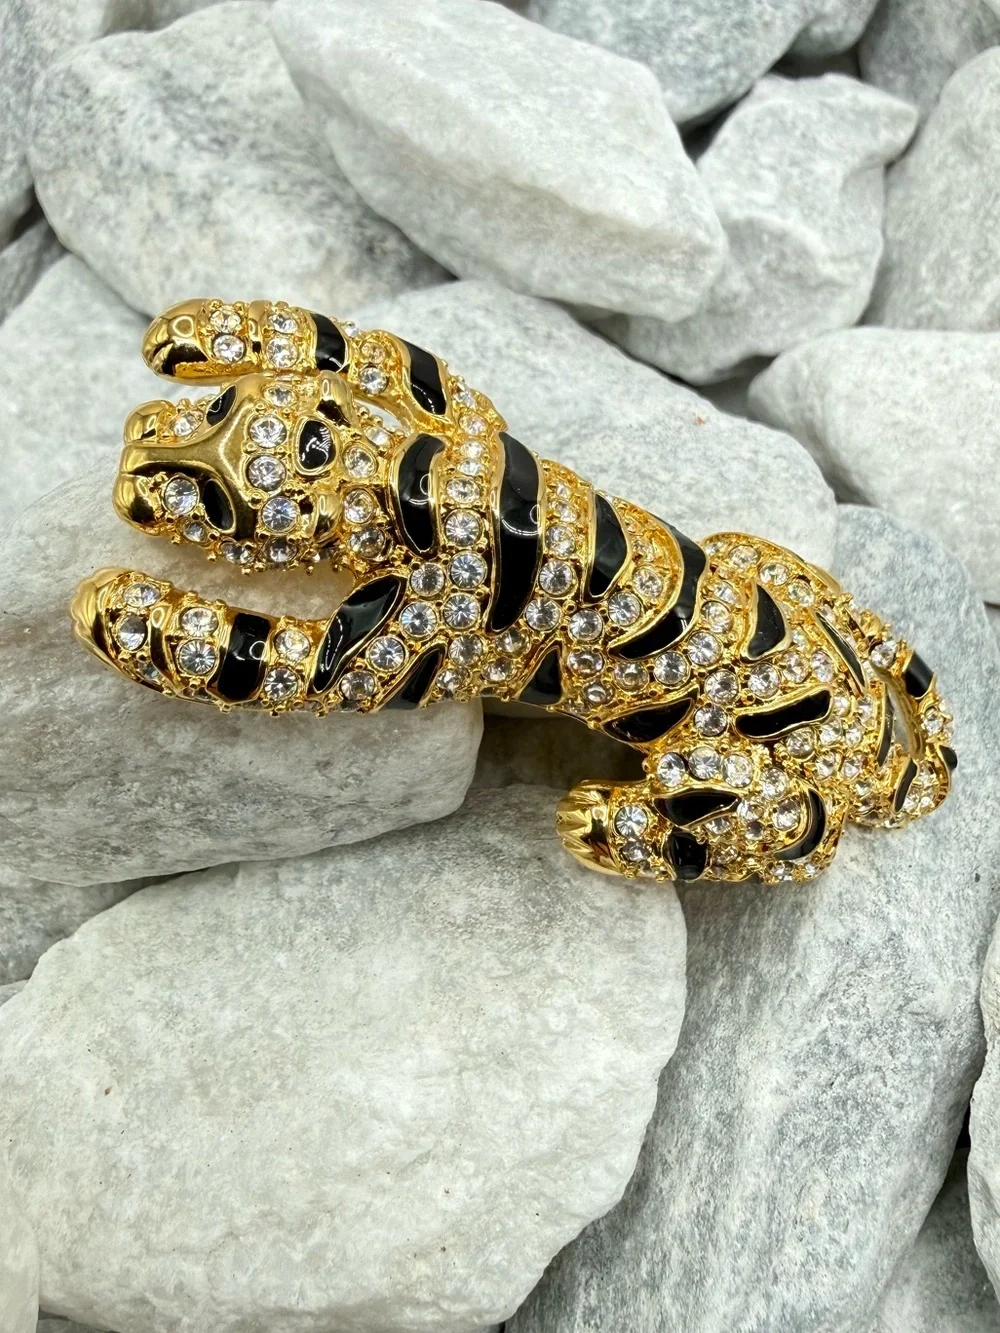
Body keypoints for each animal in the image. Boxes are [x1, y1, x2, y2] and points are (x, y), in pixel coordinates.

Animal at [72, 298, 956, 887]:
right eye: (223, 404)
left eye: (220, 505)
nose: (132, 457)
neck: (415, 480)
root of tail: (873, 737)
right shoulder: (460, 414)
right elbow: (374, 349)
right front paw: (197, 330)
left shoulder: (405, 646)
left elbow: (266, 659)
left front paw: (122, 607)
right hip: (766, 562)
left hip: (734, 764)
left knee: (797, 828)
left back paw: (609, 824)